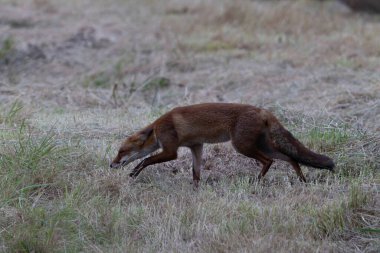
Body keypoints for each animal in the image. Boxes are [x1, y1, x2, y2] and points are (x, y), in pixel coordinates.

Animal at [109, 103, 332, 186]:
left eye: (121, 151)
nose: (111, 165)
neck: (157, 128)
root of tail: (262, 110)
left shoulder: (171, 151)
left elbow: (145, 160)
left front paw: (133, 173)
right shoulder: (196, 146)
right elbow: (196, 172)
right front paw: (196, 189)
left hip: (241, 146)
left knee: (268, 161)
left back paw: (256, 181)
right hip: (262, 145)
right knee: (291, 157)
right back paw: (302, 179)